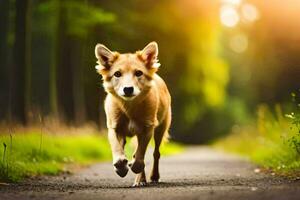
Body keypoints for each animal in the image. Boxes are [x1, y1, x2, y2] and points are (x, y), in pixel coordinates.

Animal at [95, 41, 172, 187]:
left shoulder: (147, 128)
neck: (129, 107)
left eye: (138, 73)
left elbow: (140, 154)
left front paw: (135, 166)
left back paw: (152, 176)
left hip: (160, 128)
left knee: (155, 153)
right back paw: (139, 178)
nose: (128, 89)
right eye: (117, 74)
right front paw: (121, 167)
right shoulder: (114, 127)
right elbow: (117, 147)